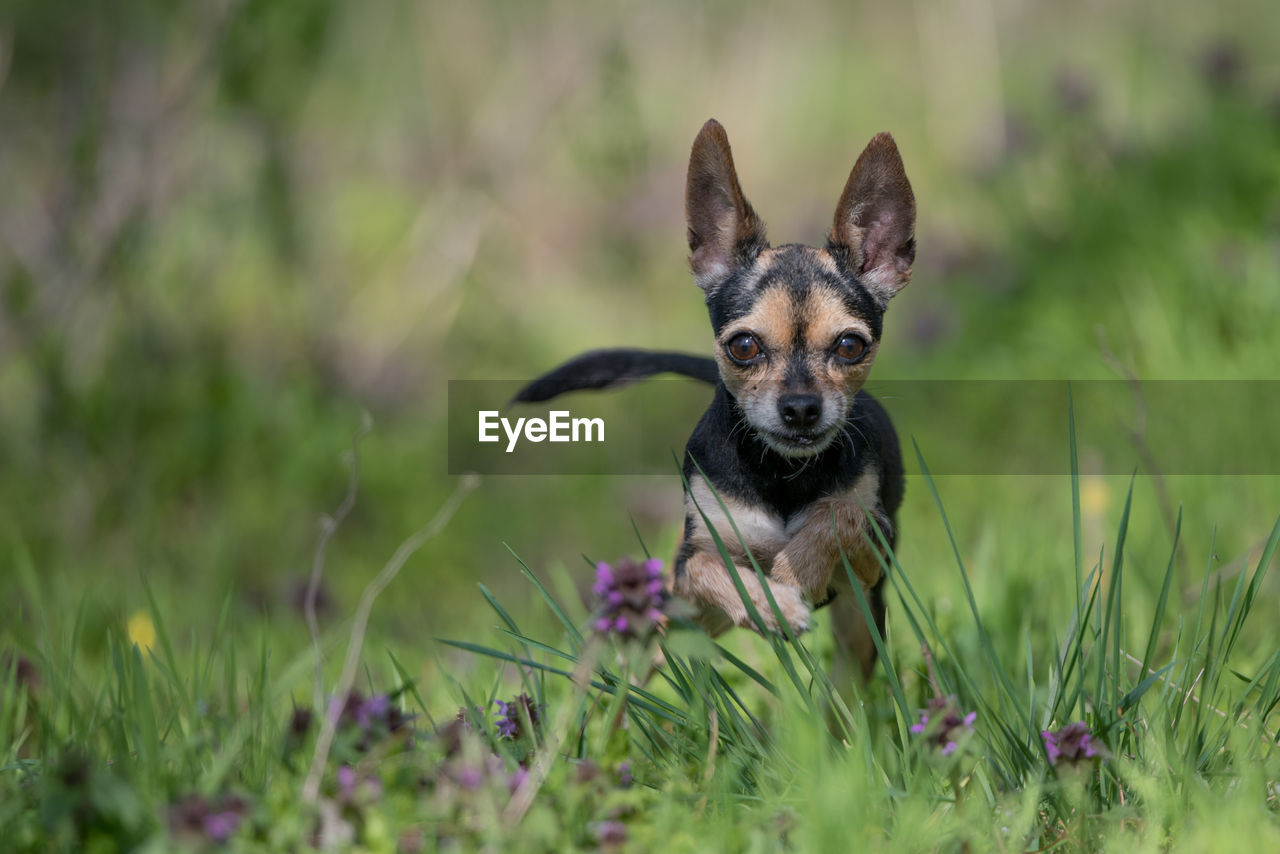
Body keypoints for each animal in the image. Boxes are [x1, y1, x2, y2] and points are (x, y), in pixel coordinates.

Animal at [514, 118, 916, 681]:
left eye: (850, 345)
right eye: (743, 346)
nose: (800, 408)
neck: (781, 473)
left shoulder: (873, 550)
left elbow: (838, 515)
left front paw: (789, 577)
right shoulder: (690, 564)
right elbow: (713, 565)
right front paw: (772, 603)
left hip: (860, 622)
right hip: (677, 613)